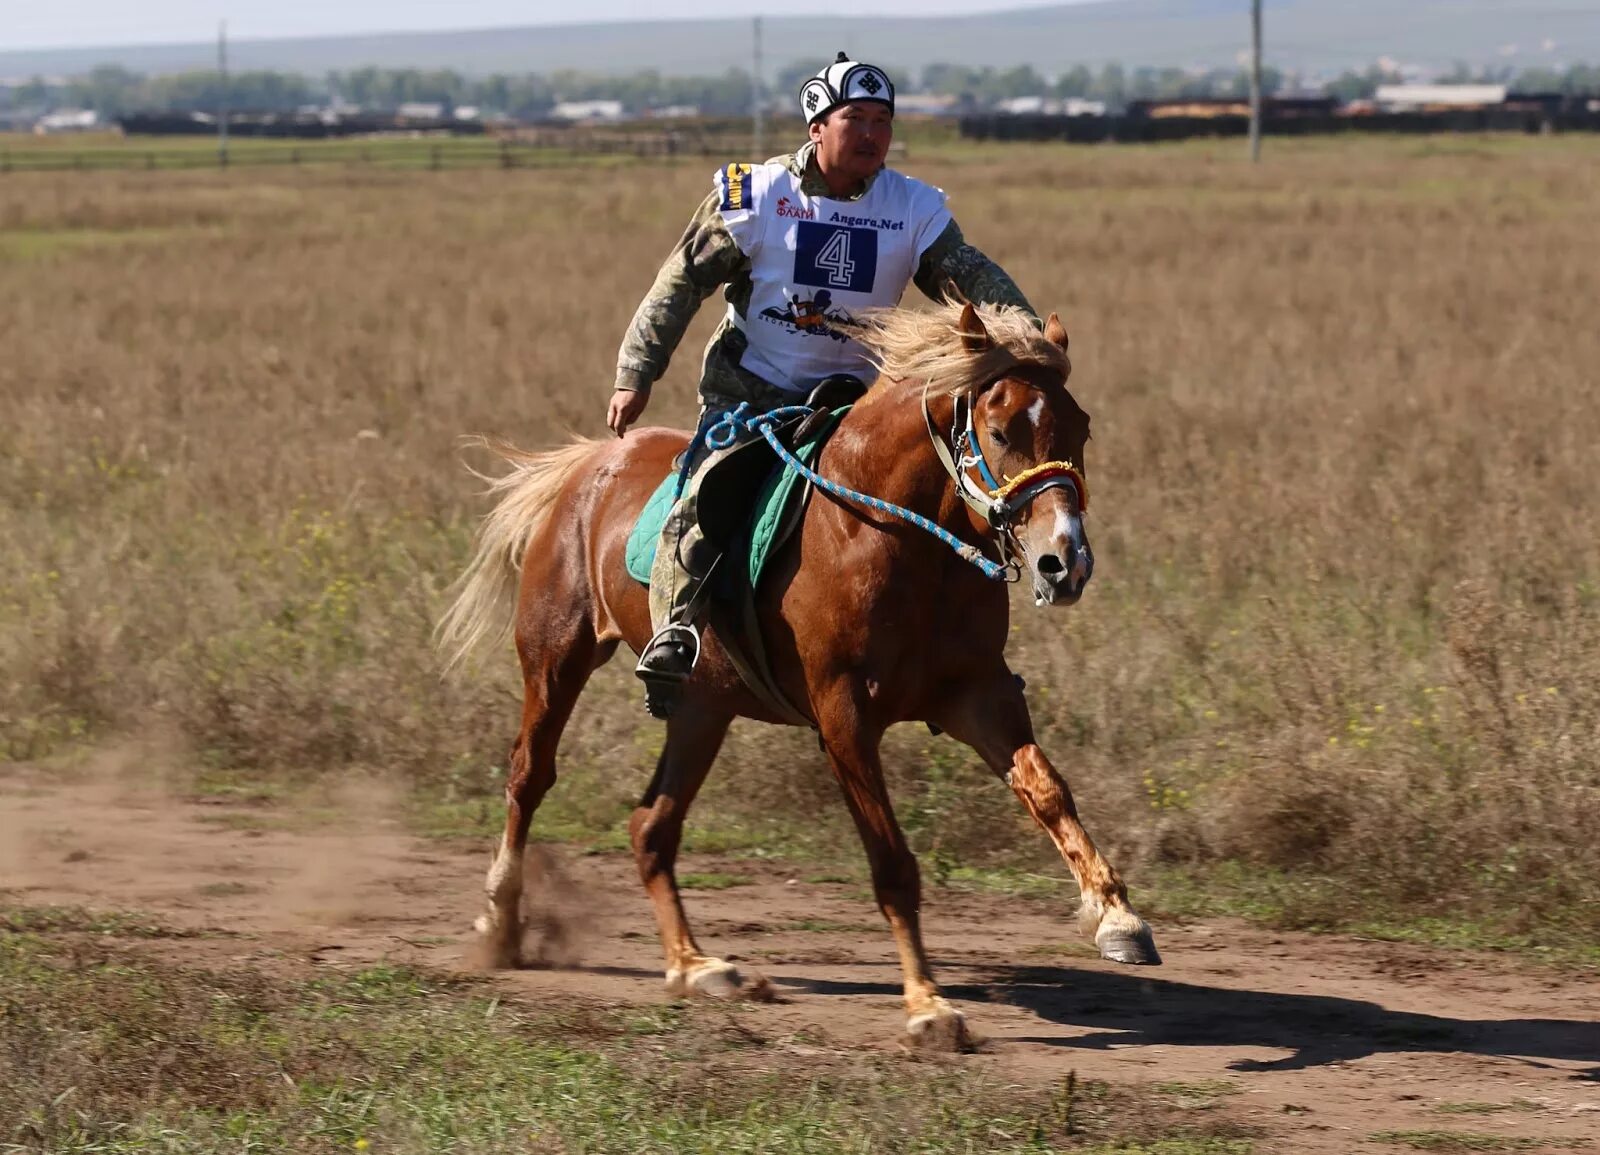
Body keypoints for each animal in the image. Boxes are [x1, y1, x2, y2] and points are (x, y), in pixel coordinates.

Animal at [444, 297, 1158, 1043]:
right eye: (998, 429)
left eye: (1080, 427)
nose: (1064, 561)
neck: (891, 535)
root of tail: (592, 461)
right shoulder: (844, 715)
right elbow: (892, 861)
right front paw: (928, 1004)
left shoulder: (976, 692)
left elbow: (1047, 790)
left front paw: (1117, 916)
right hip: (556, 656)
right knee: (529, 777)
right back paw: (499, 924)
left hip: (703, 706)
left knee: (651, 825)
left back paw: (695, 966)